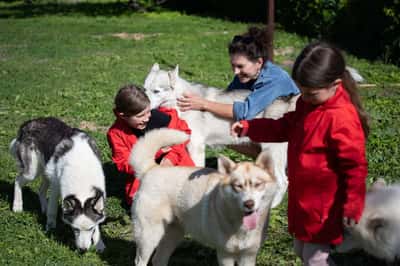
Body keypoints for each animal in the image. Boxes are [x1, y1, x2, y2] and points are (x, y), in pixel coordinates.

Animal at [10, 117, 107, 252]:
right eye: (75, 229)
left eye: (90, 229)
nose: (83, 250)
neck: (81, 172)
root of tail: (28, 123)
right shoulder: (56, 189)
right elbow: (53, 211)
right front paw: (50, 229)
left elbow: (97, 222)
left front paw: (99, 244)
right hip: (32, 173)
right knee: (17, 180)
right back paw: (17, 207)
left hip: (47, 172)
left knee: (40, 190)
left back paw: (43, 209)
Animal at [131, 128, 278, 264]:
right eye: (238, 186)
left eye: (258, 184)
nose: (249, 203)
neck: (241, 226)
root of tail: (151, 168)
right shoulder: (225, 254)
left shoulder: (248, 256)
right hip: (149, 237)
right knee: (140, 260)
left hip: (174, 233)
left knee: (158, 259)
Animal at [143, 62, 296, 208]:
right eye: (145, 89)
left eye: (156, 91)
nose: (143, 106)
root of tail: (287, 102)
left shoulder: (196, 146)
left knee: (284, 181)